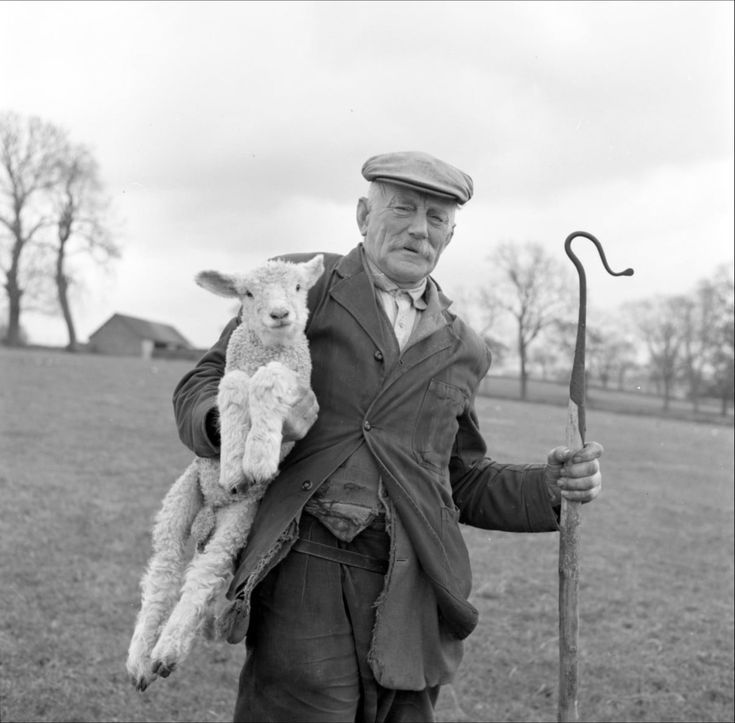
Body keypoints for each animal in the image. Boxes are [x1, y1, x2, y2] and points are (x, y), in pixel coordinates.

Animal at [126, 253, 324, 692]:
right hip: (182, 498)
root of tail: (212, 509)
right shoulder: (233, 373)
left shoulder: (295, 379)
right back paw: (142, 659)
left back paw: (165, 652)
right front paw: (234, 460)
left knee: (203, 577)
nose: (280, 314)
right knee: (163, 575)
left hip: (239, 519)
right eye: (247, 293)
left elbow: (267, 381)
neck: (265, 350)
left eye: (299, 287)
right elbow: (231, 384)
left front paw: (259, 456)